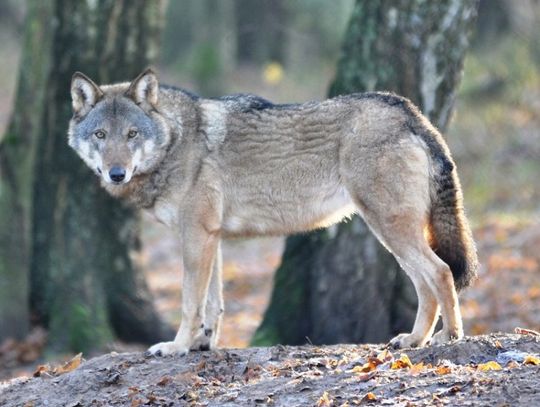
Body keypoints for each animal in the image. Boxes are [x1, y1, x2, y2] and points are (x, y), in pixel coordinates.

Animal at [67, 68, 476, 356]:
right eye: (100, 135)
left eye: (132, 135)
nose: (116, 173)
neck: (176, 141)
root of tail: (409, 111)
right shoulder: (210, 236)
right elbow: (212, 304)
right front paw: (202, 344)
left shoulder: (196, 234)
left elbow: (189, 302)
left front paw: (177, 346)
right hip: (390, 234)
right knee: (425, 283)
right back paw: (414, 340)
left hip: (389, 227)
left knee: (441, 272)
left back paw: (449, 337)